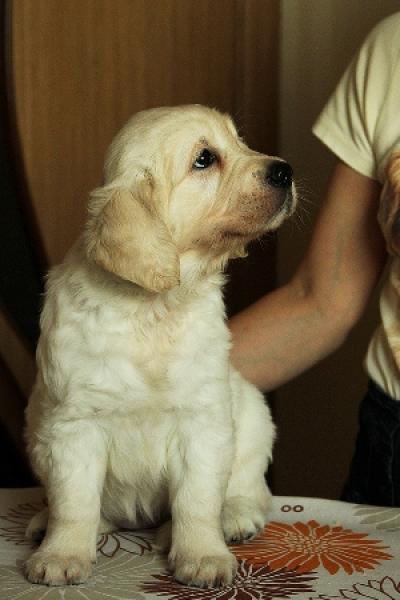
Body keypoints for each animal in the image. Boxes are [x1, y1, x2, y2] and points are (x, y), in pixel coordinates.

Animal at [24, 105, 296, 588]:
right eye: (204, 159)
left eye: (240, 142)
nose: (286, 171)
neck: (153, 308)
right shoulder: (73, 424)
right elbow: (74, 503)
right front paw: (61, 554)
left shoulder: (203, 420)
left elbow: (197, 501)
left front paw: (203, 556)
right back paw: (46, 523)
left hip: (253, 415)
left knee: (250, 488)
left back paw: (233, 518)